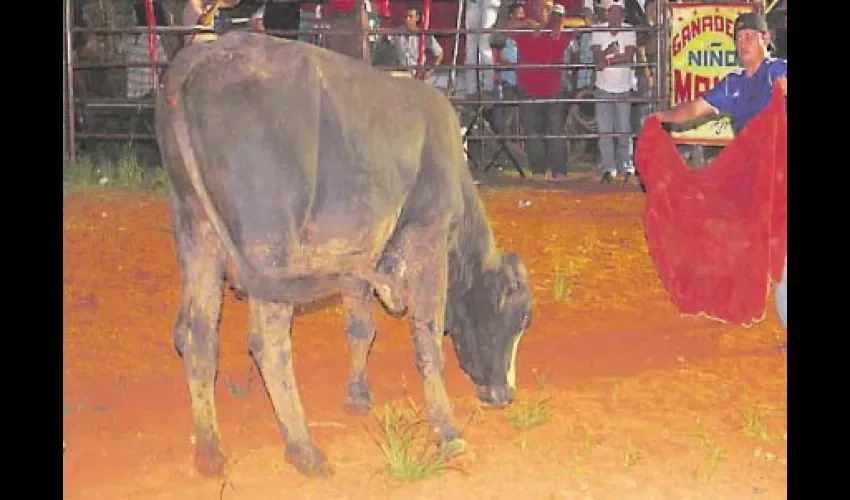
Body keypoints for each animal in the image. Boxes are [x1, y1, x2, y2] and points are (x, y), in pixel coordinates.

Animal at [155, 31, 532, 478]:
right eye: (520, 316)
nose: (504, 393)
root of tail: (201, 56)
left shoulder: (359, 256)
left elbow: (360, 327)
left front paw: (357, 395)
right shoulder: (429, 234)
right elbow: (426, 339)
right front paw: (449, 435)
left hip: (197, 232)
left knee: (196, 334)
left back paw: (210, 451)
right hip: (268, 248)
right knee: (268, 343)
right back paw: (303, 448)